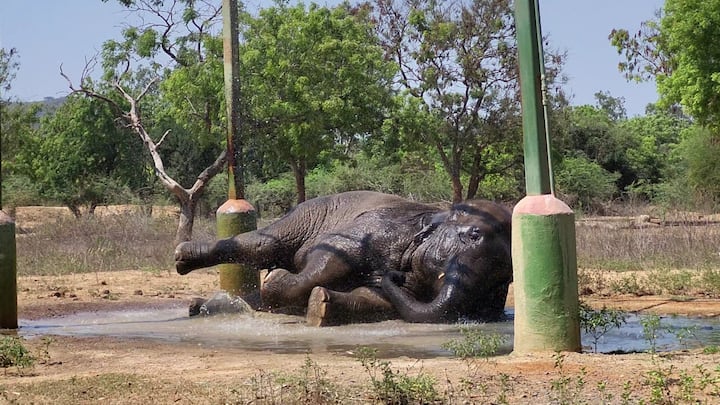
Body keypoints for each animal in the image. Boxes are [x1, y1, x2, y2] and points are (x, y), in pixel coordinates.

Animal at [174, 191, 512, 326]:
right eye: (473, 235)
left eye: (504, 279)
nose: (390, 275)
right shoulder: (381, 226)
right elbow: (329, 256)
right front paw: (276, 278)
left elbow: (376, 299)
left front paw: (320, 306)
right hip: (307, 214)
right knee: (261, 245)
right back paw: (182, 260)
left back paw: (200, 307)